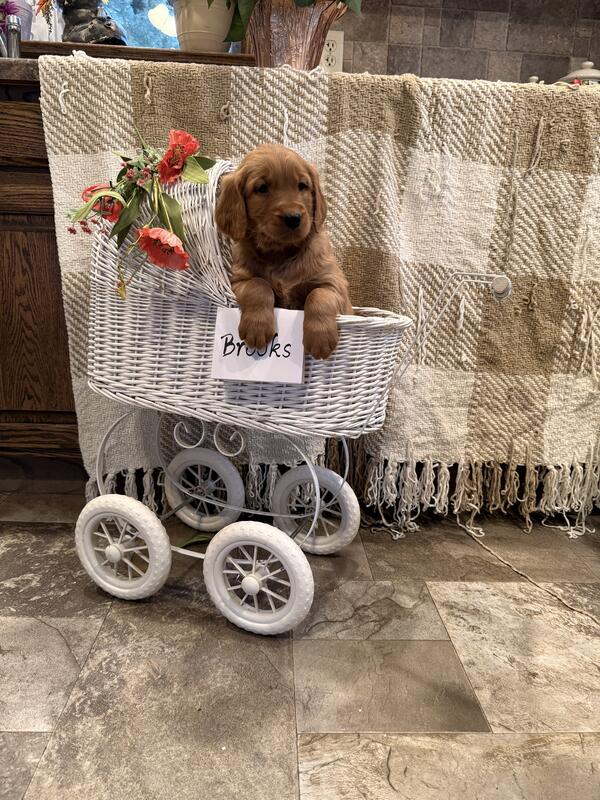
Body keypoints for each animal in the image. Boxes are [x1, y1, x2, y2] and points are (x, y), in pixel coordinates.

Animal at [215, 144, 352, 360]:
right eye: (262, 188)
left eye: (302, 186)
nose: (293, 218)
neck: (281, 253)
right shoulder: (238, 281)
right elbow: (258, 285)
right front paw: (257, 328)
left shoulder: (334, 283)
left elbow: (319, 295)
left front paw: (320, 339)